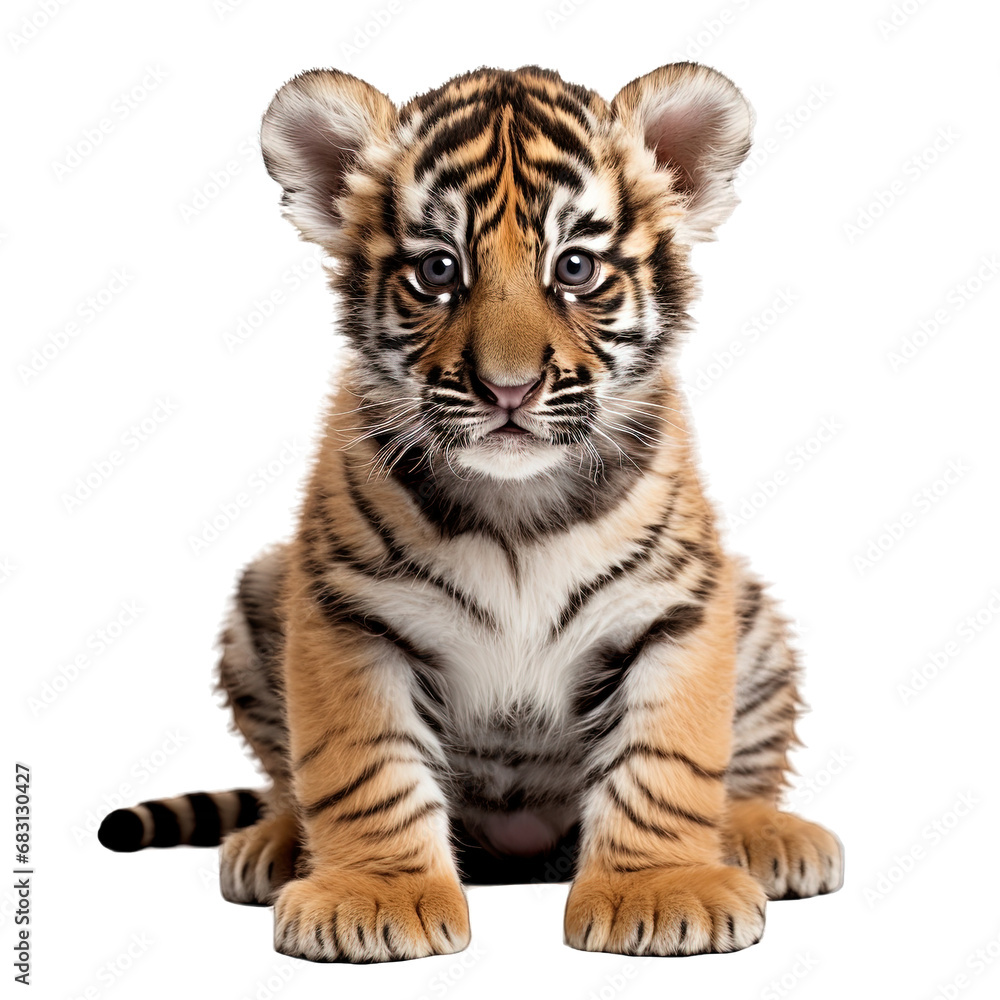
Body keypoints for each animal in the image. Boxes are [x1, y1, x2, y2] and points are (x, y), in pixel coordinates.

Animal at [98, 61, 844, 961]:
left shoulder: (675, 611)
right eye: (437, 270)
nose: (508, 389)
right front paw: (375, 895)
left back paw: (768, 836)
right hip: (261, 595)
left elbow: (667, 761)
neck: (517, 504)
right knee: (287, 778)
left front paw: (660, 889)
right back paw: (276, 845)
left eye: (576, 267)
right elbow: (362, 765)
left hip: (751, 609)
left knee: (746, 773)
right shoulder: (350, 617)